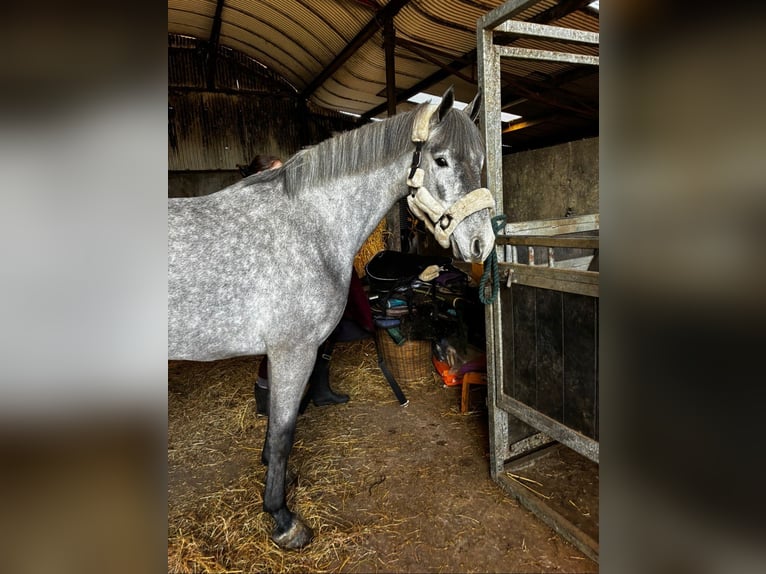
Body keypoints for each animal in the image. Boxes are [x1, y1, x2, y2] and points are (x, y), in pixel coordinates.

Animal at [168, 87, 496, 549]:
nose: (482, 242)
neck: (306, 226)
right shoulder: (294, 350)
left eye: (481, 161)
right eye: (442, 160)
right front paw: (283, 519)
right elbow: (283, 431)